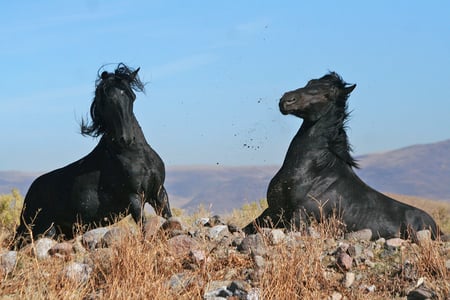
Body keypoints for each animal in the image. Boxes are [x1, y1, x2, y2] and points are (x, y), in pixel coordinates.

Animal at [15, 63, 171, 246]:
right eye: (109, 100)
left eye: (132, 96)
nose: (126, 138)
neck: (136, 155)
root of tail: (28, 197)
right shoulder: (134, 197)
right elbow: (143, 226)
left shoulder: (159, 193)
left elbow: (169, 219)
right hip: (44, 230)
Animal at [244, 72, 442, 239]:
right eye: (310, 83)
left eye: (329, 94)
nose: (287, 100)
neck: (312, 172)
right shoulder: (272, 211)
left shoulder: (299, 217)